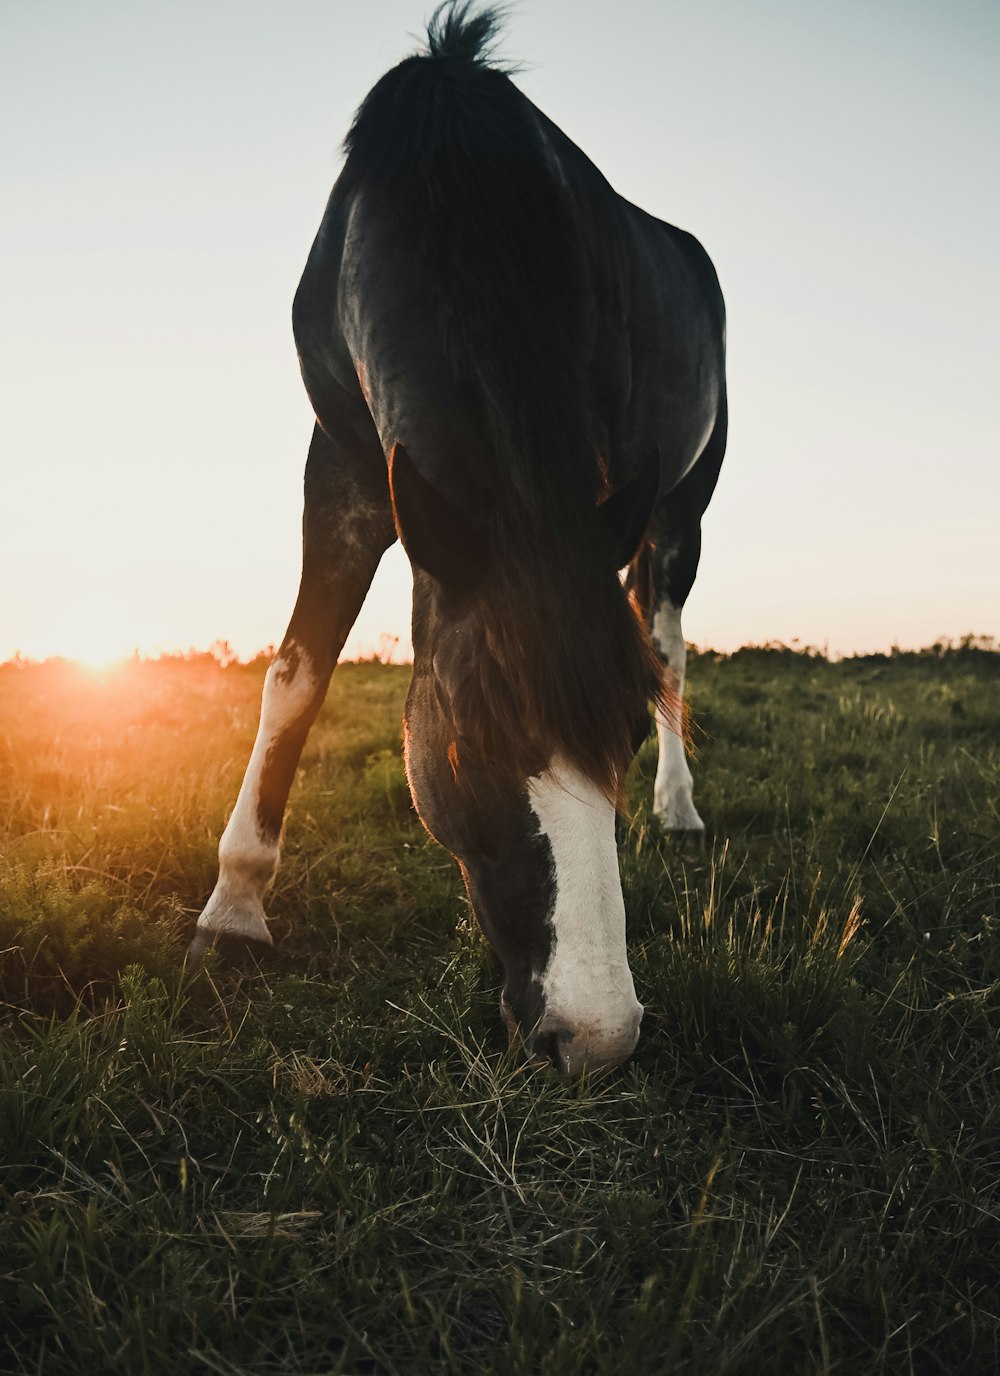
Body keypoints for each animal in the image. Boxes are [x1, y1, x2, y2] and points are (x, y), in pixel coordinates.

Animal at [193, 2, 726, 1073]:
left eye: (617, 738)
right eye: (467, 742)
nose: (595, 1039)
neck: (450, 183)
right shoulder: (346, 459)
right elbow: (296, 675)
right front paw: (234, 907)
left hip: (681, 506)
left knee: (667, 640)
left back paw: (679, 808)